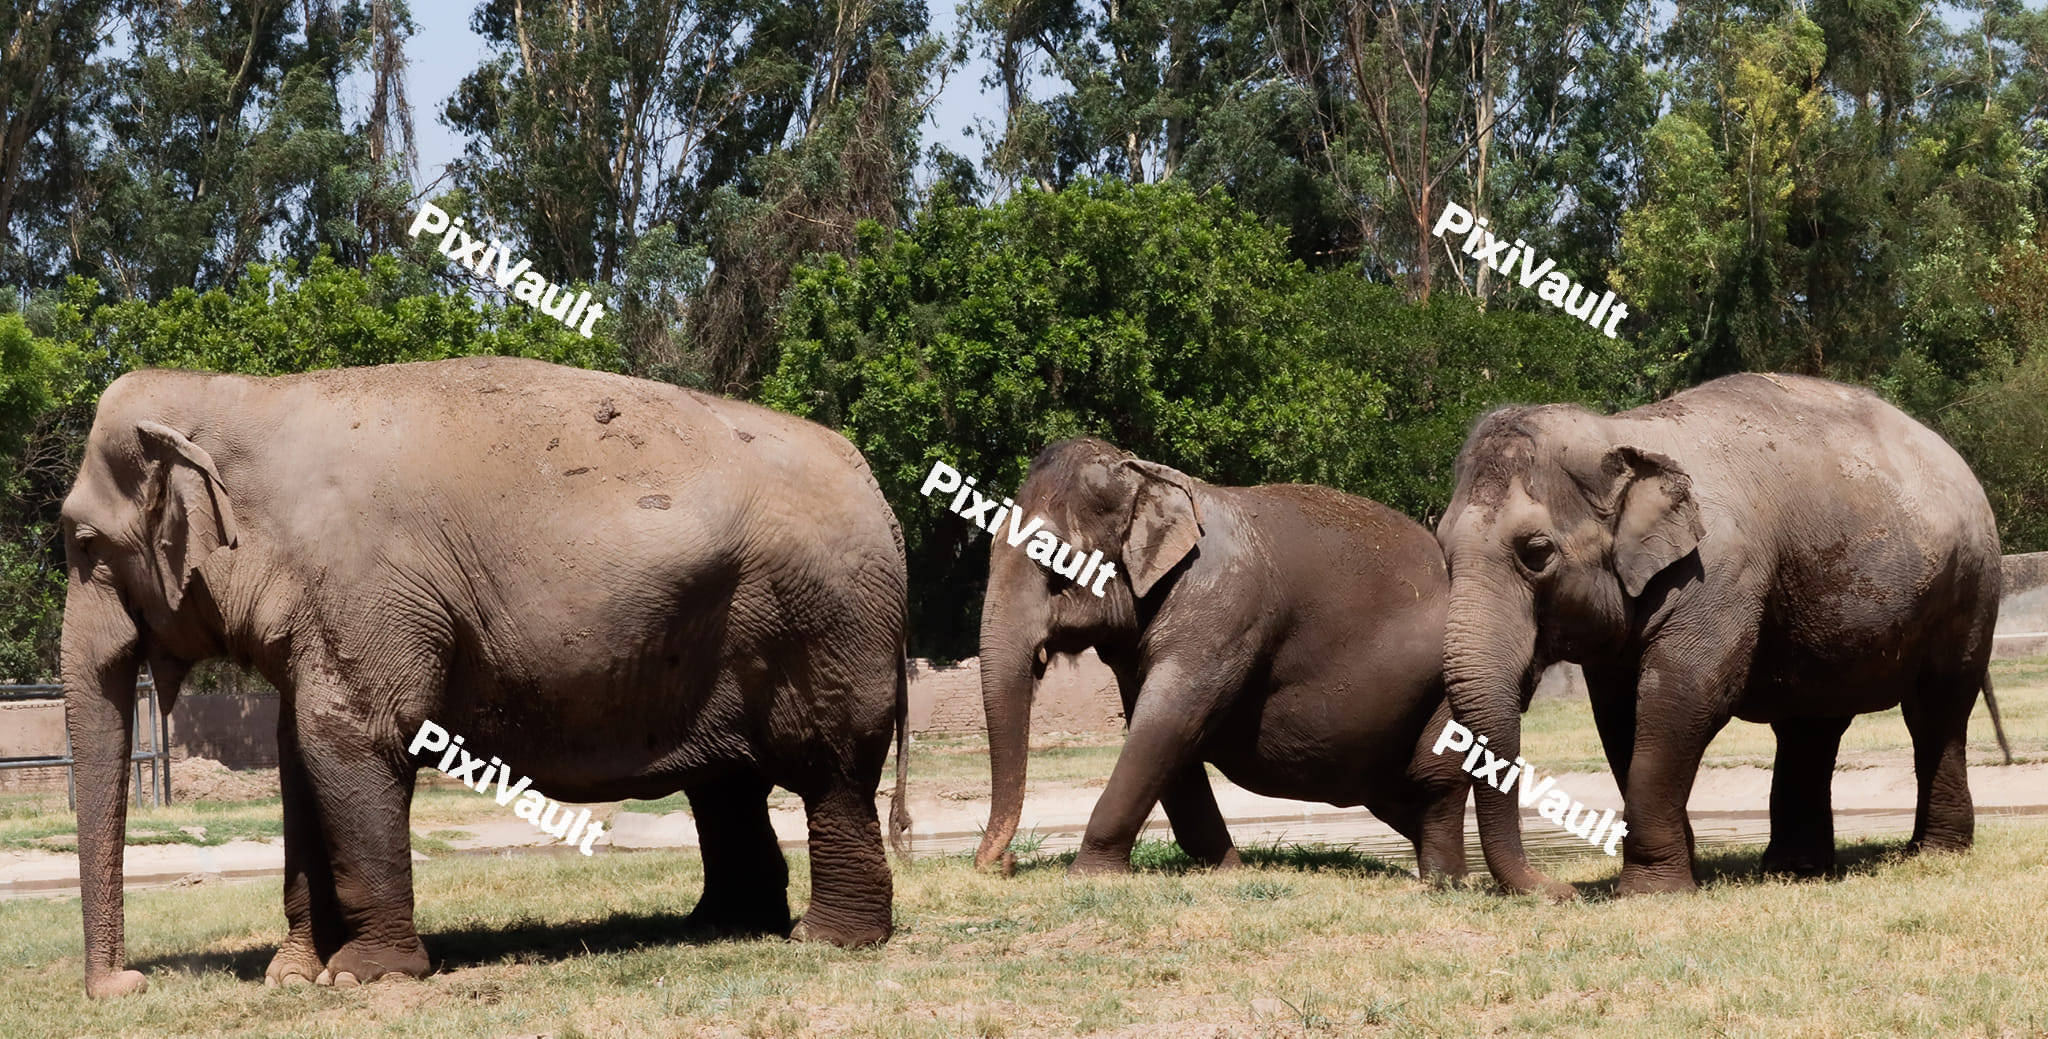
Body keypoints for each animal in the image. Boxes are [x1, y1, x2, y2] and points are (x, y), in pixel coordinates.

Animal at [59, 356, 910, 998]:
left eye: (83, 543)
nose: (129, 984)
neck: (242, 393)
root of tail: (880, 493)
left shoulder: (368, 594)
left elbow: (351, 740)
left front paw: (363, 978)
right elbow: (300, 753)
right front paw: (293, 975)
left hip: (826, 622)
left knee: (829, 771)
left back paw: (825, 940)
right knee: (728, 786)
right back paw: (722, 926)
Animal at [972, 438, 1468, 878]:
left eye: (1052, 560)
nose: (1004, 862)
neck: (1145, 476)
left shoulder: (1222, 605)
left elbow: (1168, 722)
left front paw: (1087, 874)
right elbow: (1161, 733)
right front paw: (1228, 868)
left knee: (1438, 782)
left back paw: (1446, 880)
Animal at [1435, 372, 2008, 899]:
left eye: (1536, 553)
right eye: (1441, 548)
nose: (1561, 891)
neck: (1623, 432)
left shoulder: (1719, 574)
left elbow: (1681, 696)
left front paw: (1652, 892)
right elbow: (1619, 715)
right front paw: (1679, 870)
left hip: (1970, 585)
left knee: (1936, 711)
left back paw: (1934, 852)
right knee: (1811, 725)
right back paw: (1795, 870)